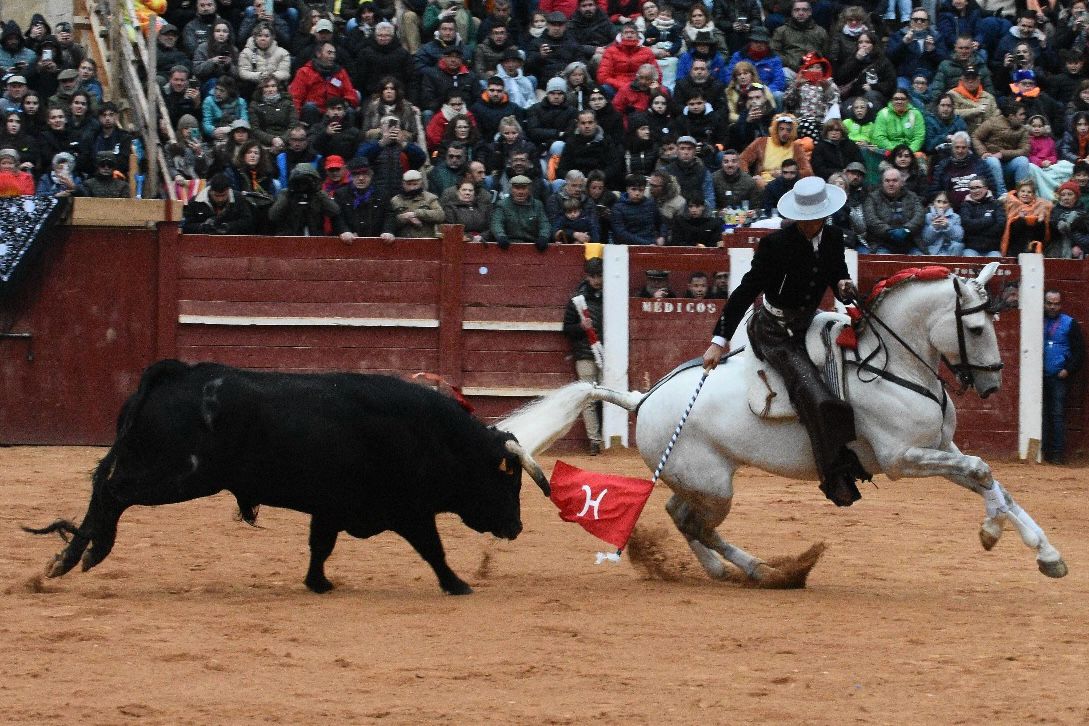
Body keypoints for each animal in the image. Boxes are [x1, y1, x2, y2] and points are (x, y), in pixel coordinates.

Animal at [23, 359, 553, 596]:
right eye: (508, 482)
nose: (517, 527)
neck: (434, 437)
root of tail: (176, 372)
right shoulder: (410, 511)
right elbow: (433, 548)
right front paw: (458, 584)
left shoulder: (331, 509)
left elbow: (320, 546)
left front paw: (318, 584)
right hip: (178, 476)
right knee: (114, 493)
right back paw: (88, 554)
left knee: (101, 489)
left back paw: (70, 558)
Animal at [498, 261, 1062, 583]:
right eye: (976, 327)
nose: (993, 383)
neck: (893, 363)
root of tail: (643, 398)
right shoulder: (903, 459)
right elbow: (983, 470)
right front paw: (998, 534)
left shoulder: (941, 449)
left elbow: (990, 479)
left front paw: (1042, 551)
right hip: (713, 483)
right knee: (692, 520)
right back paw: (754, 570)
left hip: (704, 479)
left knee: (683, 515)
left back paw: (737, 569)